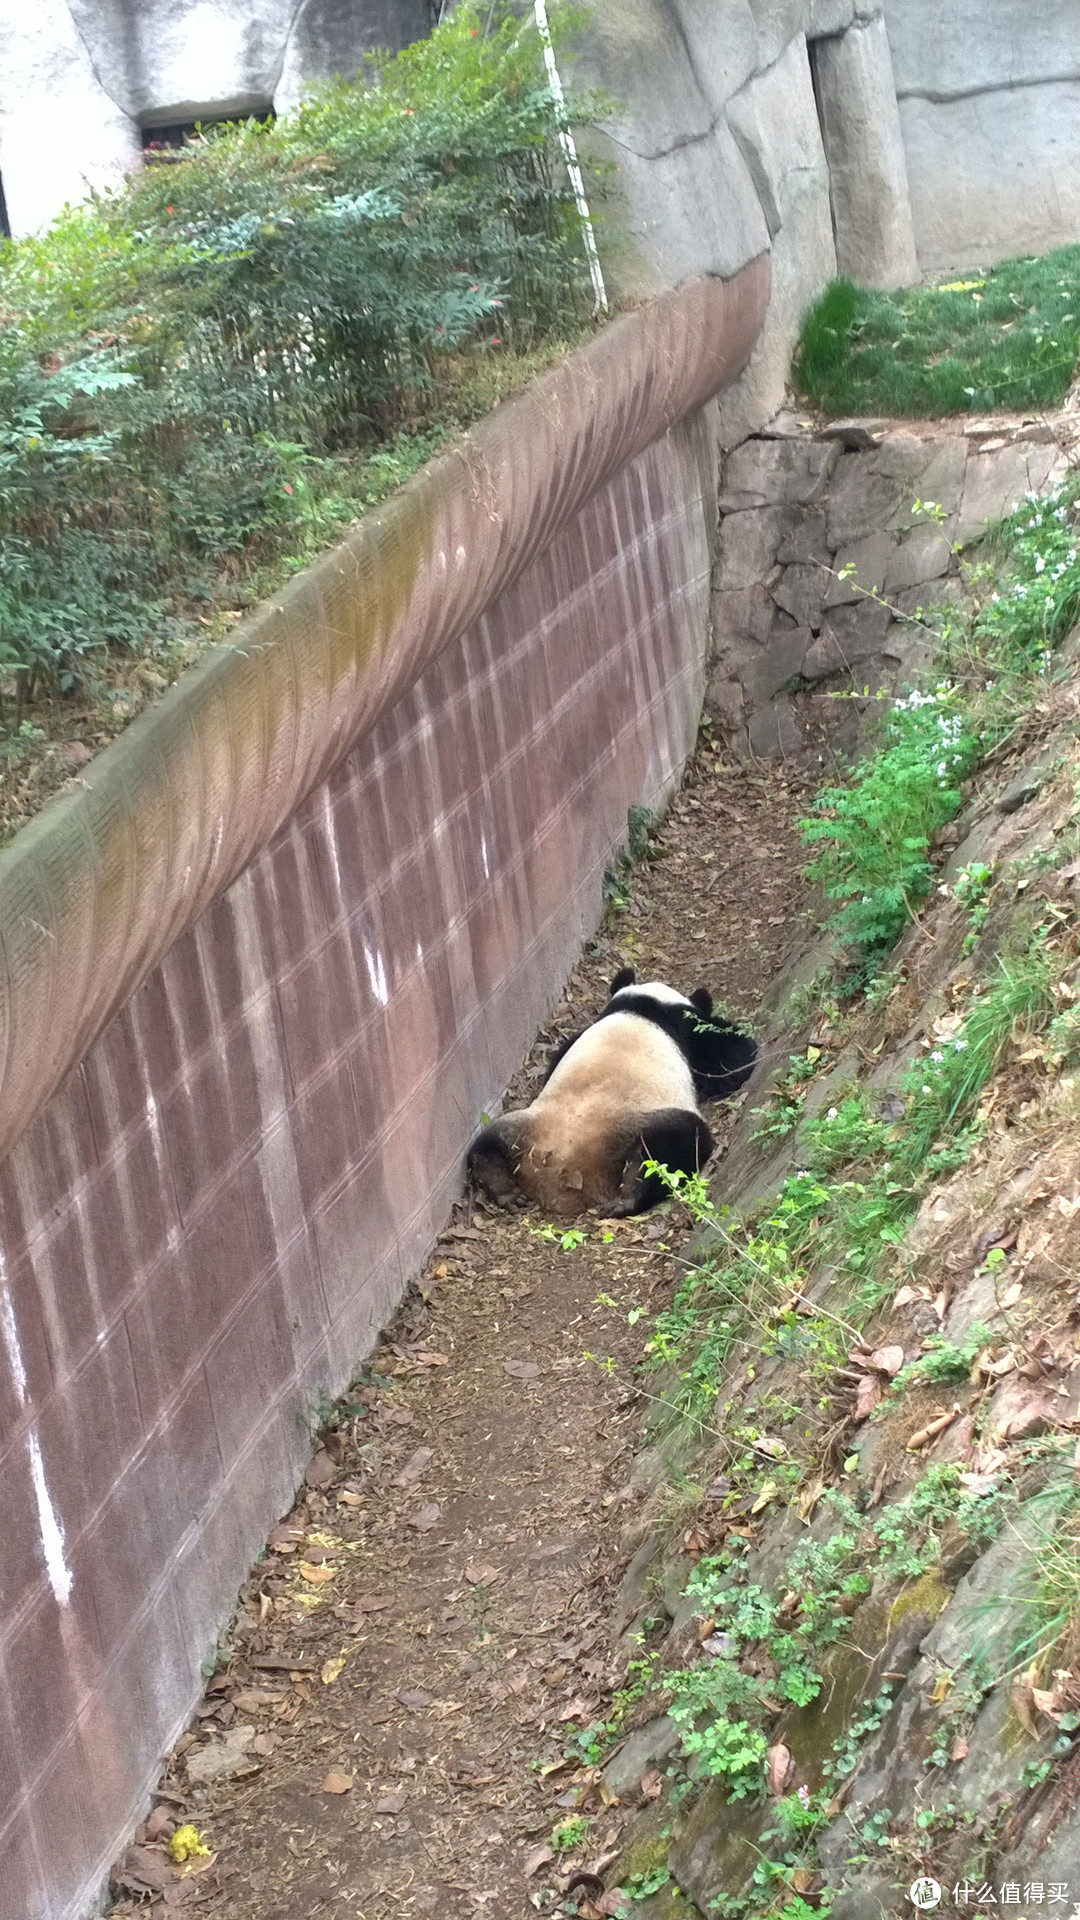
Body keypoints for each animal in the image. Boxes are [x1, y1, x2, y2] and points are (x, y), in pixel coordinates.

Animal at [465, 967, 757, 1221]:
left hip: (524, 1127)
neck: (641, 1006)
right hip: (645, 1120)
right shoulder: (687, 1030)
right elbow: (731, 1053)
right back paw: (629, 1197)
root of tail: (561, 1167)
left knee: (486, 1143)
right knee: (673, 1145)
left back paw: (502, 1188)